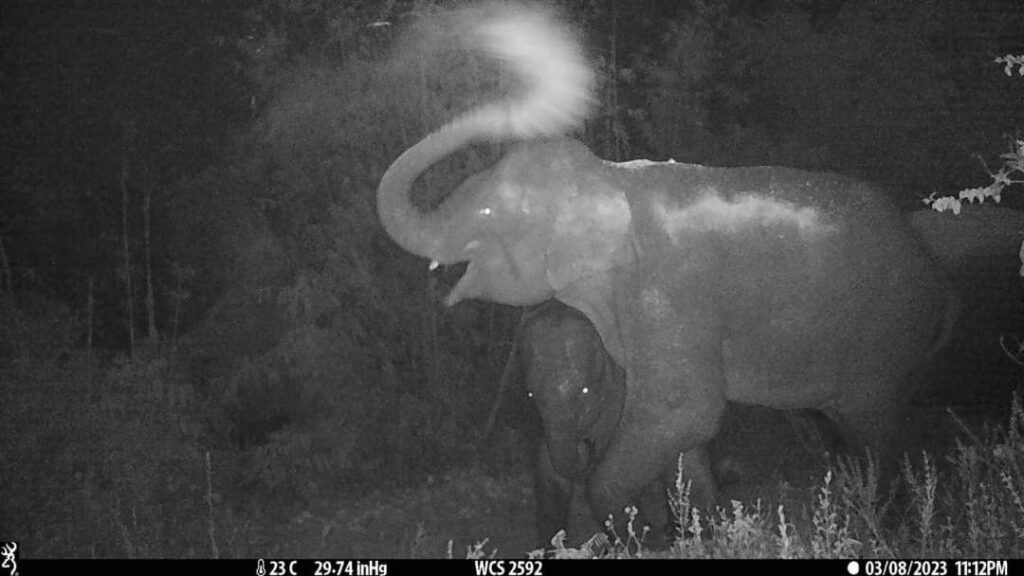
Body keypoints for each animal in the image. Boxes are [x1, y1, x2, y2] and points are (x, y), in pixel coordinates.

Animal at [376, 8, 963, 529]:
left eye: (491, 212)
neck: (610, 178)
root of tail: (930, 263)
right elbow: (682, 433)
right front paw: (696, 531)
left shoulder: (668, 291)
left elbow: (682, 408)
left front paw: (633, 533)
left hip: (886, 333)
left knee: (874, 429)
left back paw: (889, 526)